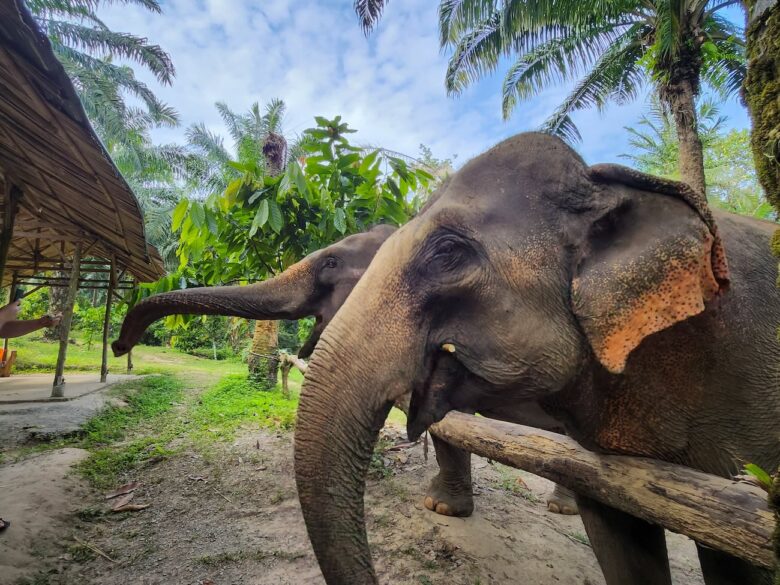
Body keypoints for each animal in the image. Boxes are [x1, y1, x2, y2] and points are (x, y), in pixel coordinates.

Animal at [293, 132, 780, 585]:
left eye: (447, 254)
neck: (605, 184)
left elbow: (735, 549)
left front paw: (439, 508)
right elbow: (614, 525)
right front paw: (441, 508)